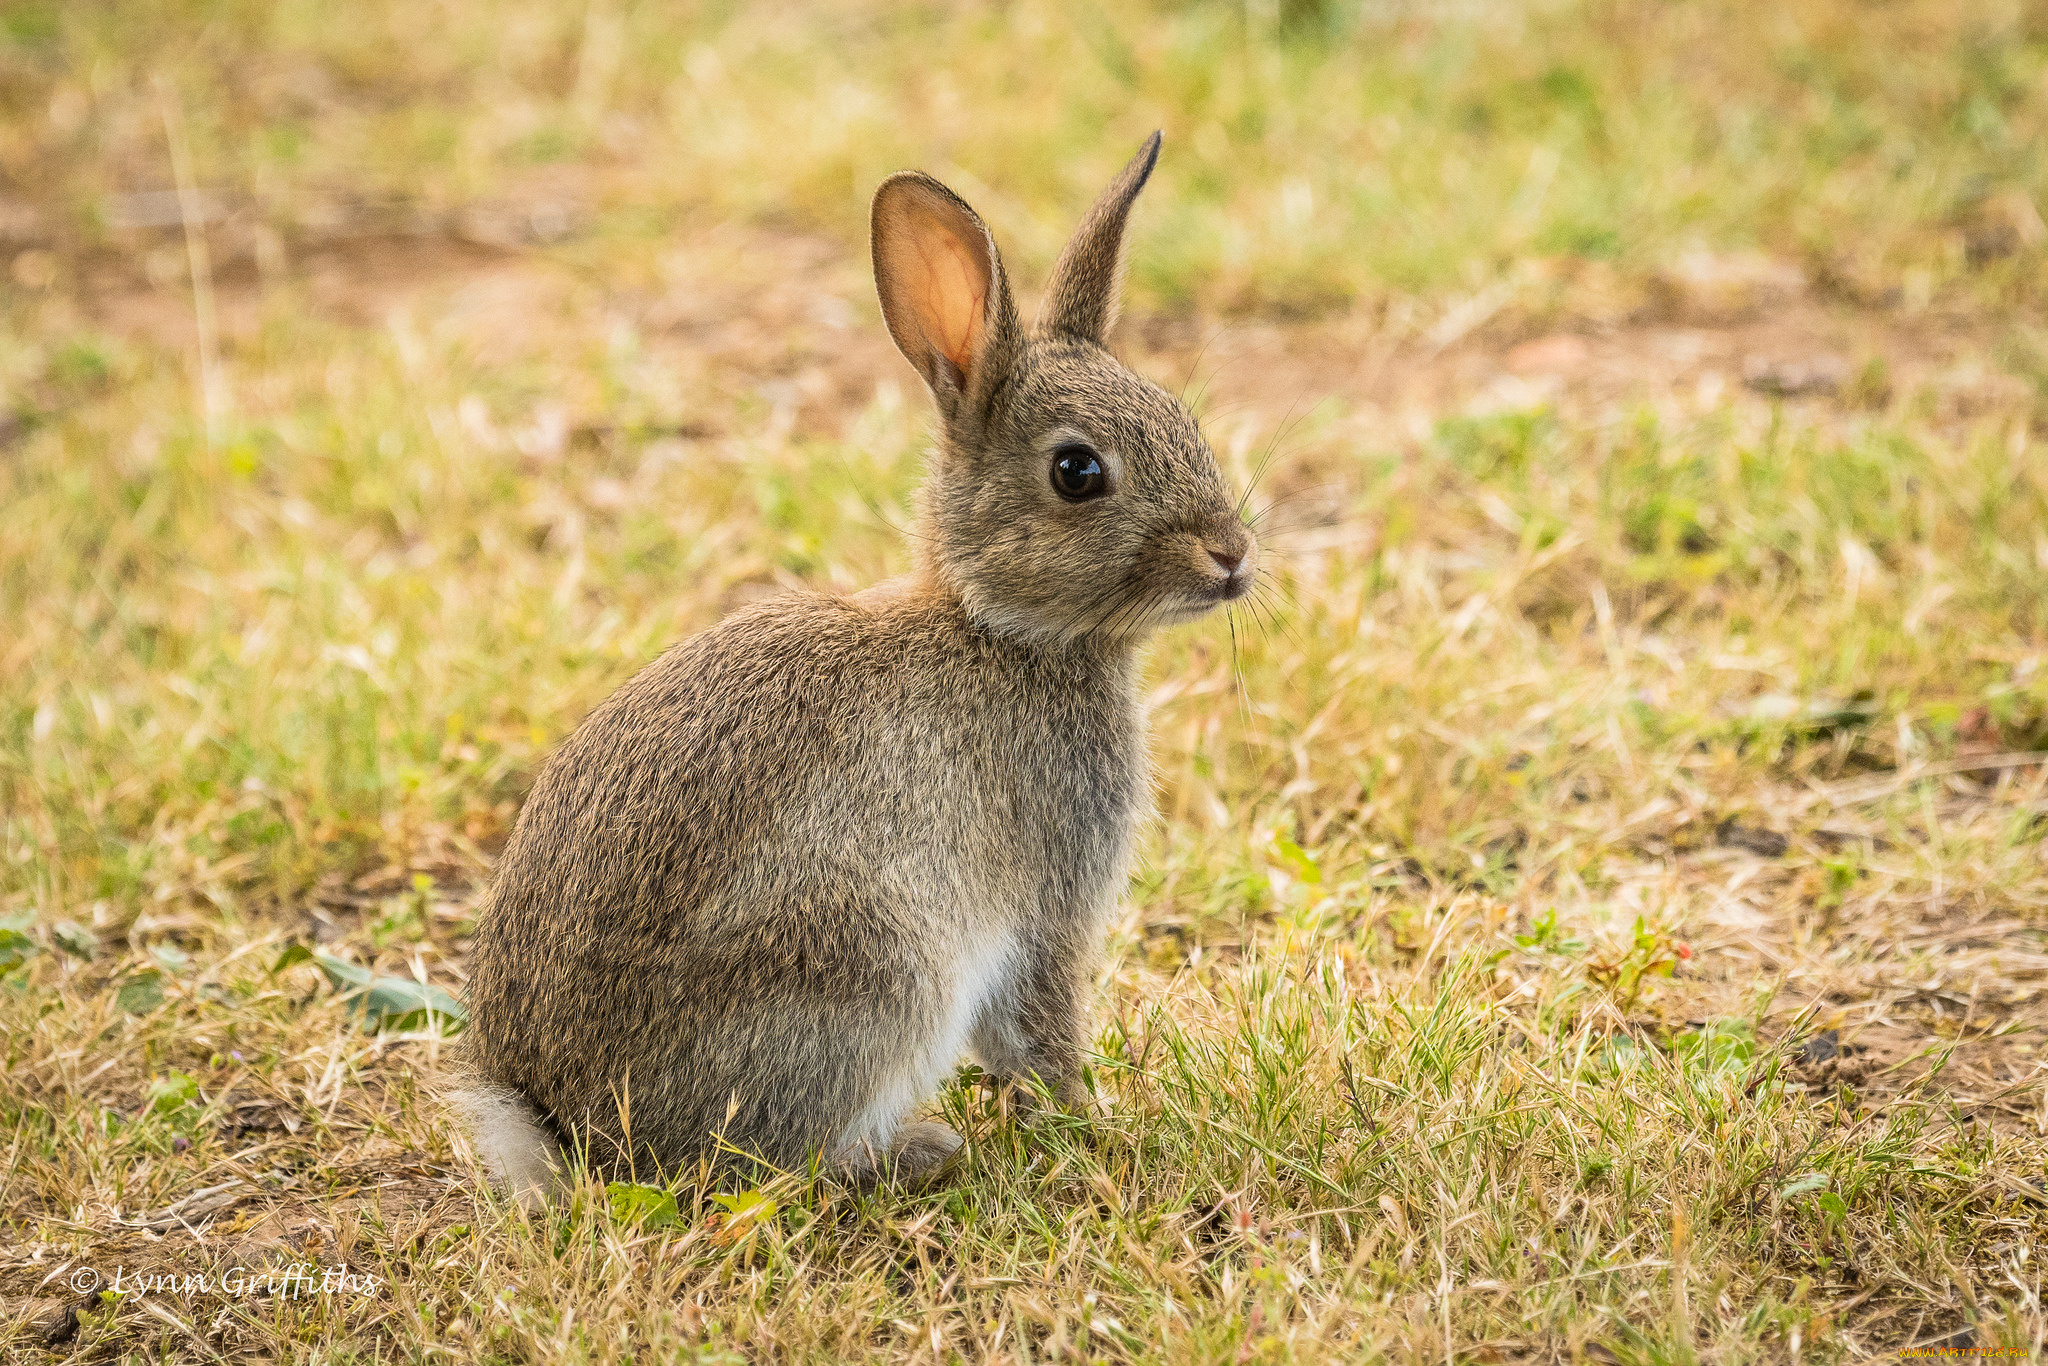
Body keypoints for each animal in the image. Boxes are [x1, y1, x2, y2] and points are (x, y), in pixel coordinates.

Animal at [456, 133, 1253, 1204]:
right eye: (1078, 472)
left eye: (1184, 421)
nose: (1232, 556)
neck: (1000, 629)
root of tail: (569, 1128)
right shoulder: (1046, 903)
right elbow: (1041, 1034)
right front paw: (1090, 1130)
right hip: (876, 970)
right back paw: (917, 1151)